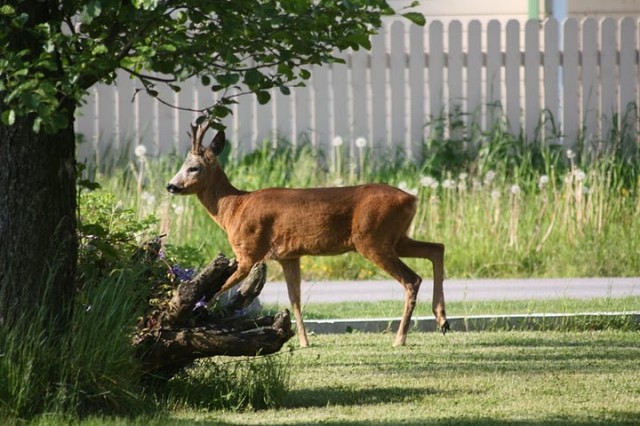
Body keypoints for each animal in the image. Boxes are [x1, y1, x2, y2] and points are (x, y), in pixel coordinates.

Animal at [166, 122, 449, 347]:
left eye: (193, 168)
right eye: (181, 165)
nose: (171, 185)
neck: (234, 208)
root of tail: (412, 199)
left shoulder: (248, 252)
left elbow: (218, 290)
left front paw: (192, 313)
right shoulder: (289, 256)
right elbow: (295, 299)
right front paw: (303, 341)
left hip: (372, 238)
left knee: (412, 279)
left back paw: (400, 338)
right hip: (396, 237)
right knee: (437, 247)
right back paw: (442, 319)